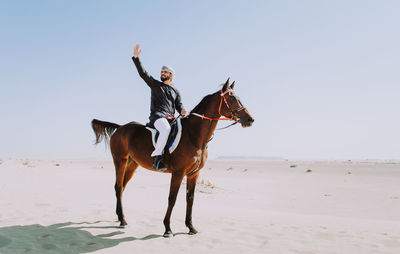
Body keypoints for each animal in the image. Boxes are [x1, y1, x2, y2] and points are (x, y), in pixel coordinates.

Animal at [91, 78, 253, 237]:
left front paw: (191, 227)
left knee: (122, 187)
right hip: (120, 161)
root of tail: (120, 127)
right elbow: (172, 199)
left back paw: (119, 217)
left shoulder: (194, 174)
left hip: (132, 165)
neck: (194, 136)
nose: (250, 119)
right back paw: (123, 219)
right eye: (231, 98)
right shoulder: (178, 173)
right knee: (118, 187)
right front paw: (167, 228)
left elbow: (190, 199)